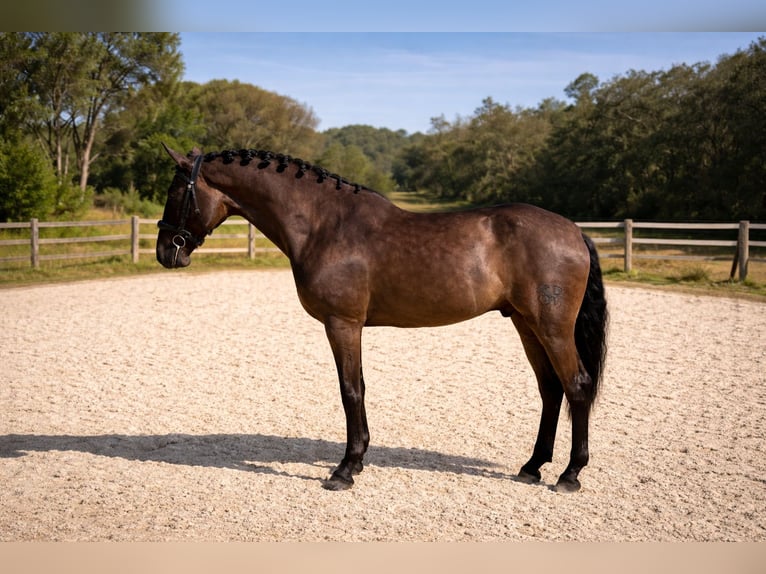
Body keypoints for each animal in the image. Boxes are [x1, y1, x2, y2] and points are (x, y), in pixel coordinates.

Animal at [156, 144, 608, 493]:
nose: (165, 252)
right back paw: (532, 467)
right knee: (551, 390)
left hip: (552, 328)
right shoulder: (349, 327)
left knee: (576, 385)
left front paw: (343, 470)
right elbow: (359, 388)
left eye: (176, 191)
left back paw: (569, 475)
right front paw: (356, 461)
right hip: (526, 324)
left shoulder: (342, 324)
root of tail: (574, 231)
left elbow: (350, 392)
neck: (323, 224)